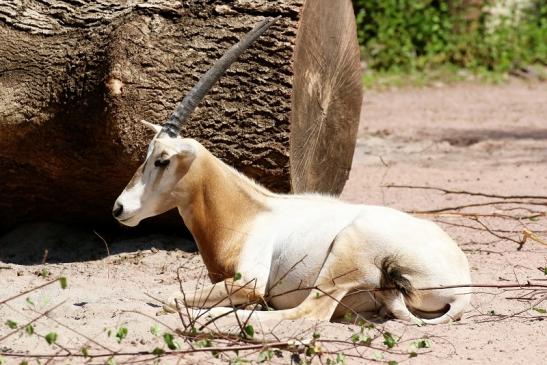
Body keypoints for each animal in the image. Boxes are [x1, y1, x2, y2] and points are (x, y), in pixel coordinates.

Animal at [114, 17, 470, 324]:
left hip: (344, 252)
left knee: (306, 312)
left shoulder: (249, 281)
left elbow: (171, 298)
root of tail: (461, 289)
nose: (119, 208)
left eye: (162, 159)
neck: (250, 212)